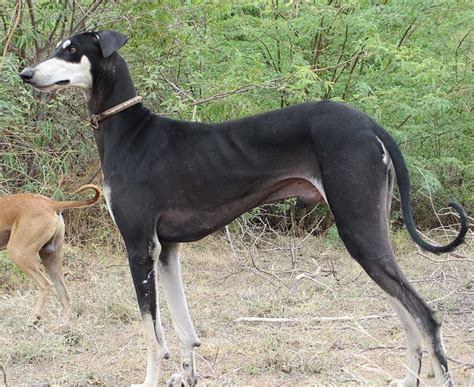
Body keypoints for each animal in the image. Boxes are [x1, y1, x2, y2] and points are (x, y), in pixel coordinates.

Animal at [0, 185, 101, 324]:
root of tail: (51, 204)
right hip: (50, 256)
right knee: (64, 294)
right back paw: (62, 324)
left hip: (18, 252)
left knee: (46, 285)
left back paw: (32, 319)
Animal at [19, 31, 466, 387]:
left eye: (71, 50)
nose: (25, 74)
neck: (130, 132)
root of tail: (369, 123)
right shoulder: (167, 251)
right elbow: (183, 328)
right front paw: (187, 376)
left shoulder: (138, 248)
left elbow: (152, 334)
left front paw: (149, 380)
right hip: (372, 239)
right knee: (408, 319)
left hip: (359, 233)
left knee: (426, 318)